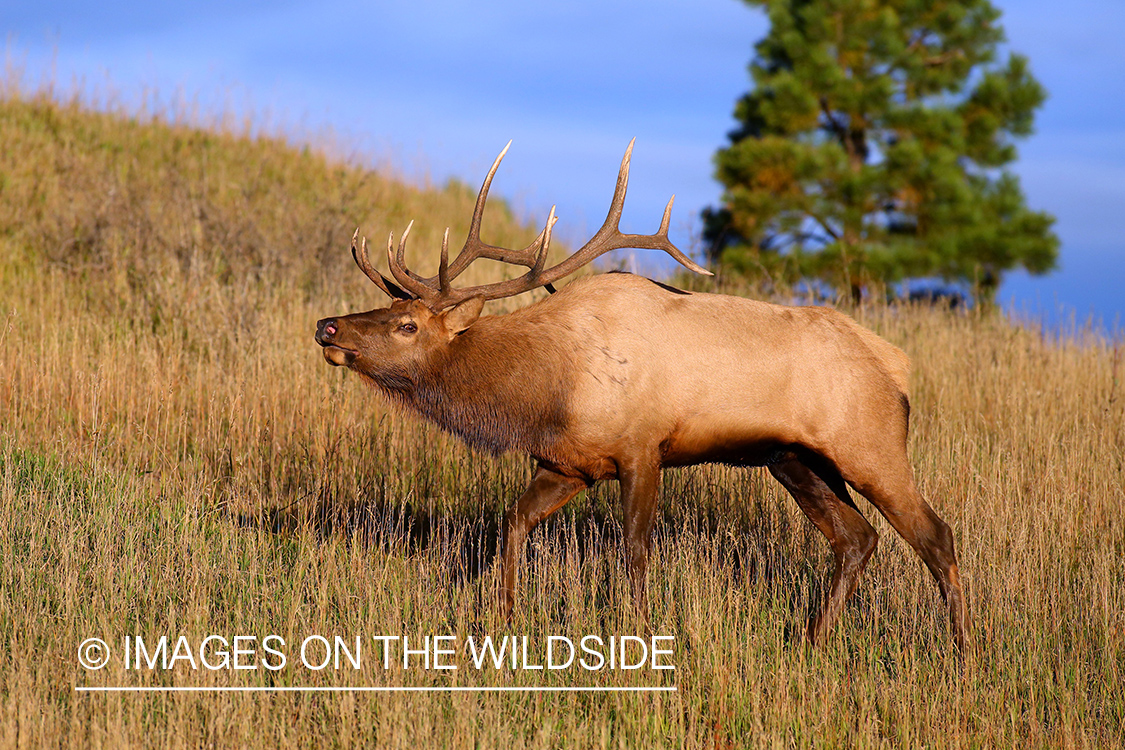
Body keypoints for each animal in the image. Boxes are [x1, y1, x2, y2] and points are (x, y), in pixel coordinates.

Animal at [315, 140, 967, 652]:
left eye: (408, 325)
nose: (328, 326)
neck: (547, 390)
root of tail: (899, 369)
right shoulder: (568, 463)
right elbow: (512, 521)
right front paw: (502, 617)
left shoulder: (642, 448)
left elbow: (634, 551)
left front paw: (637, 634)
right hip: (795, 459)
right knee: (857, 538)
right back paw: (811, 640)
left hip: (868, 443)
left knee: (934, 534)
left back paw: (961, 651)